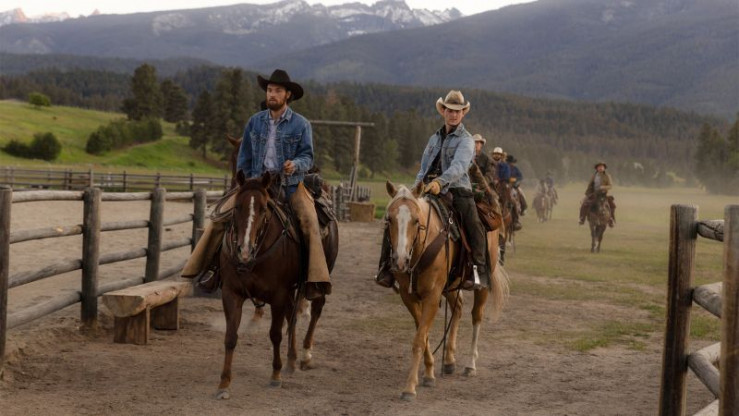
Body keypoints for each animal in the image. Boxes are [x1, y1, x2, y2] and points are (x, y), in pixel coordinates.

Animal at [215, 171, 339, 399]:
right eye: (236, 206)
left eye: (264, 208)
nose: (244, 250)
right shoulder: (231, 293)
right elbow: (231, 336)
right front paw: (224, 384)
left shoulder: (278, 295)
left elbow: (275, 334)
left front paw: (275, 375)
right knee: (293, 318)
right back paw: (291, 359)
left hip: (321, 278)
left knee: (316, 310)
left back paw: (306, 355)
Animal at [384, 181, 509, 400]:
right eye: (389, 219)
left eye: (416, 220)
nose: (399, 261)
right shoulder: (409, 298)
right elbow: (423, 334)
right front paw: (429, 373)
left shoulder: (432, 297)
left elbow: (419, 339)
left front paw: (410, 388)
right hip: (451, 285)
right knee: (457, 308)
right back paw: (449, 360)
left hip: (483, 283)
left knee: (476, 316)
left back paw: (470, 365)